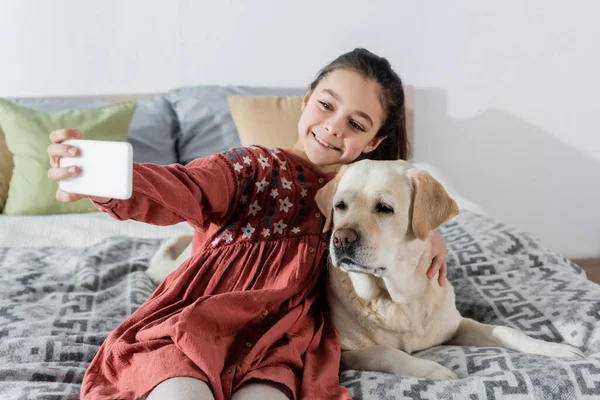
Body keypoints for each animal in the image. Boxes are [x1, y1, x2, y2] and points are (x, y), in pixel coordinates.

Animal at [316, 159, 584, 378]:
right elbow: (385, 351)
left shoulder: (457, 325)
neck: (399, 299)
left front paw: (555, 348)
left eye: (384, 207)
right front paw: (434, 370)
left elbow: (506, 331)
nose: (341, 239)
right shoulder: (343, 354)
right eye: (340, 206)